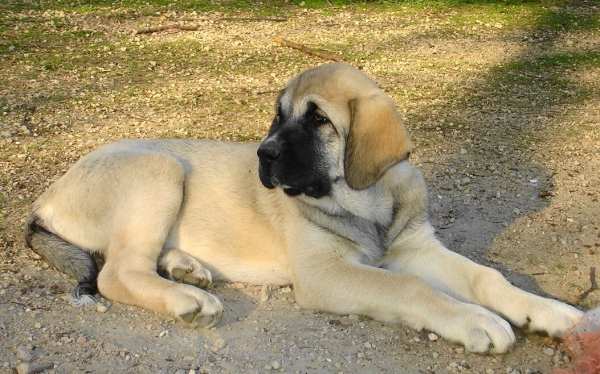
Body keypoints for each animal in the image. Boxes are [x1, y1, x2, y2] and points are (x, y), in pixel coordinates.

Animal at [25, 62, 584, 352]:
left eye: (318, 121)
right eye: (278, 116)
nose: (263, 155)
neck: (364, 200)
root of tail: (46, 196)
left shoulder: (416, 247)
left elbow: (487, 277)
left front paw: (548, 311)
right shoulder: (322, 272)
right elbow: (409, 287)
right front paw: (474, 320)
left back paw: (185, 266)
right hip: (159, 171)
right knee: (115, 272)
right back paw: (188, 297)